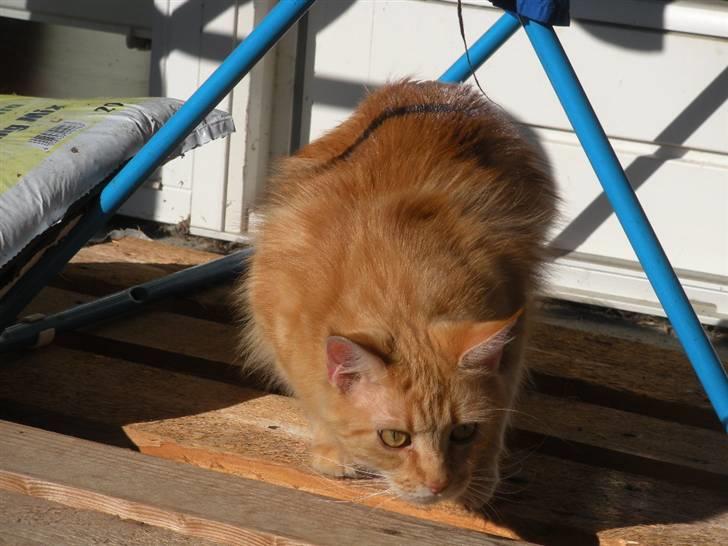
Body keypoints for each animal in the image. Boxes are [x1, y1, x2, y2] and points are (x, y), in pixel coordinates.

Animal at [240, 81, 556, 506]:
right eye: (394, 438)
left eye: (464, 432)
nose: (439, 484)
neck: (401, 297)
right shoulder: (280, 321)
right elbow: (317, 398)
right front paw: (332, 450)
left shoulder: (517, 321)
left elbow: (501, 410)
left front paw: (481, 479)